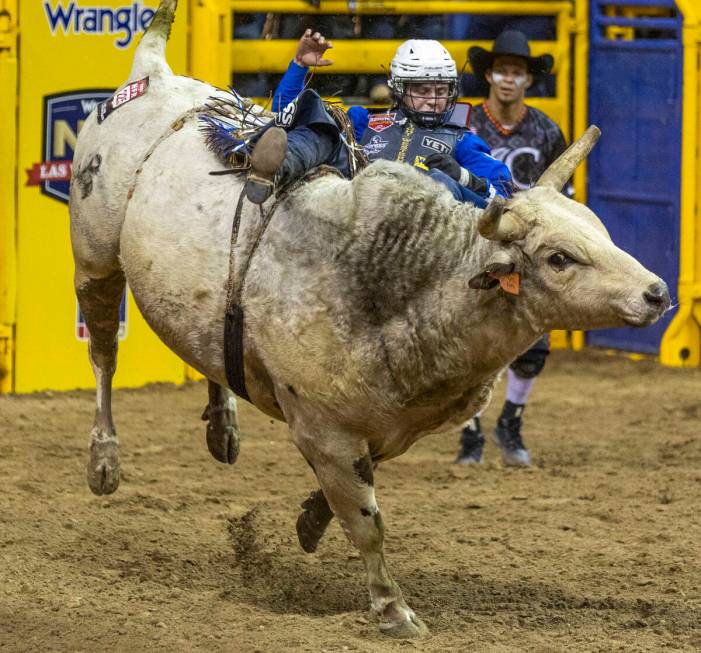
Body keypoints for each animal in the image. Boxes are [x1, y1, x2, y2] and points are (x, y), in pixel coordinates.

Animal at [68, 1, 668, 636]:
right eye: (558, 258)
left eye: (600, 230)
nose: (656, 293)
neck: (404, 287)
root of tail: (152, 75)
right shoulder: (323, 429)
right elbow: (364, 519)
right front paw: (393, 608)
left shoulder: (390, 427)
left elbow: (348, 494)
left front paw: (310, 521)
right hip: (94, 258)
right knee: (103, 352)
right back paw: (104, 459)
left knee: (209, 350)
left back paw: (223, 424)